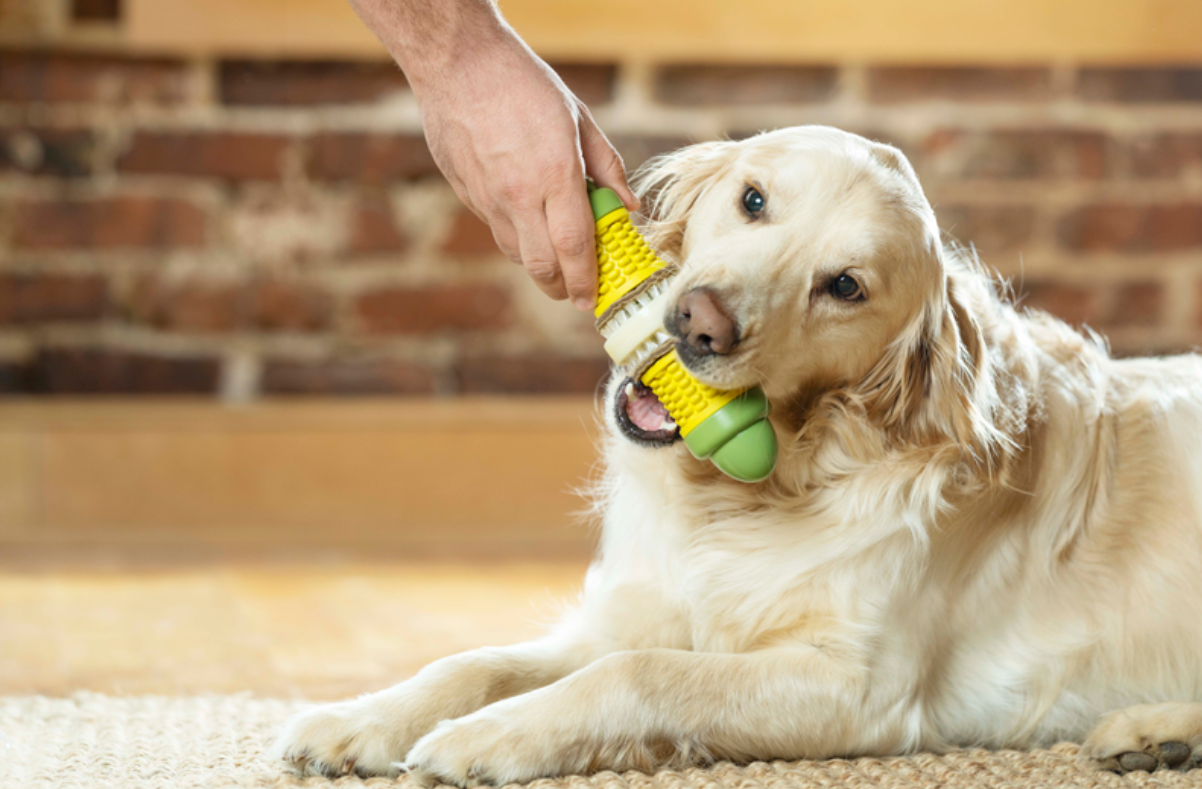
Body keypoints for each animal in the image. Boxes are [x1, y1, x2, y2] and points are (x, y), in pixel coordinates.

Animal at [275, 128, 1202, 784]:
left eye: (845, 286)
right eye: (752, 199)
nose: (698, 322)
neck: (750, 493)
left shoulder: (857, 684)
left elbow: (638, 675)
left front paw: (487, 737)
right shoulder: (635, 610)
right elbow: (475, 659)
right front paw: (357, 719)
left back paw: (1151, 730)